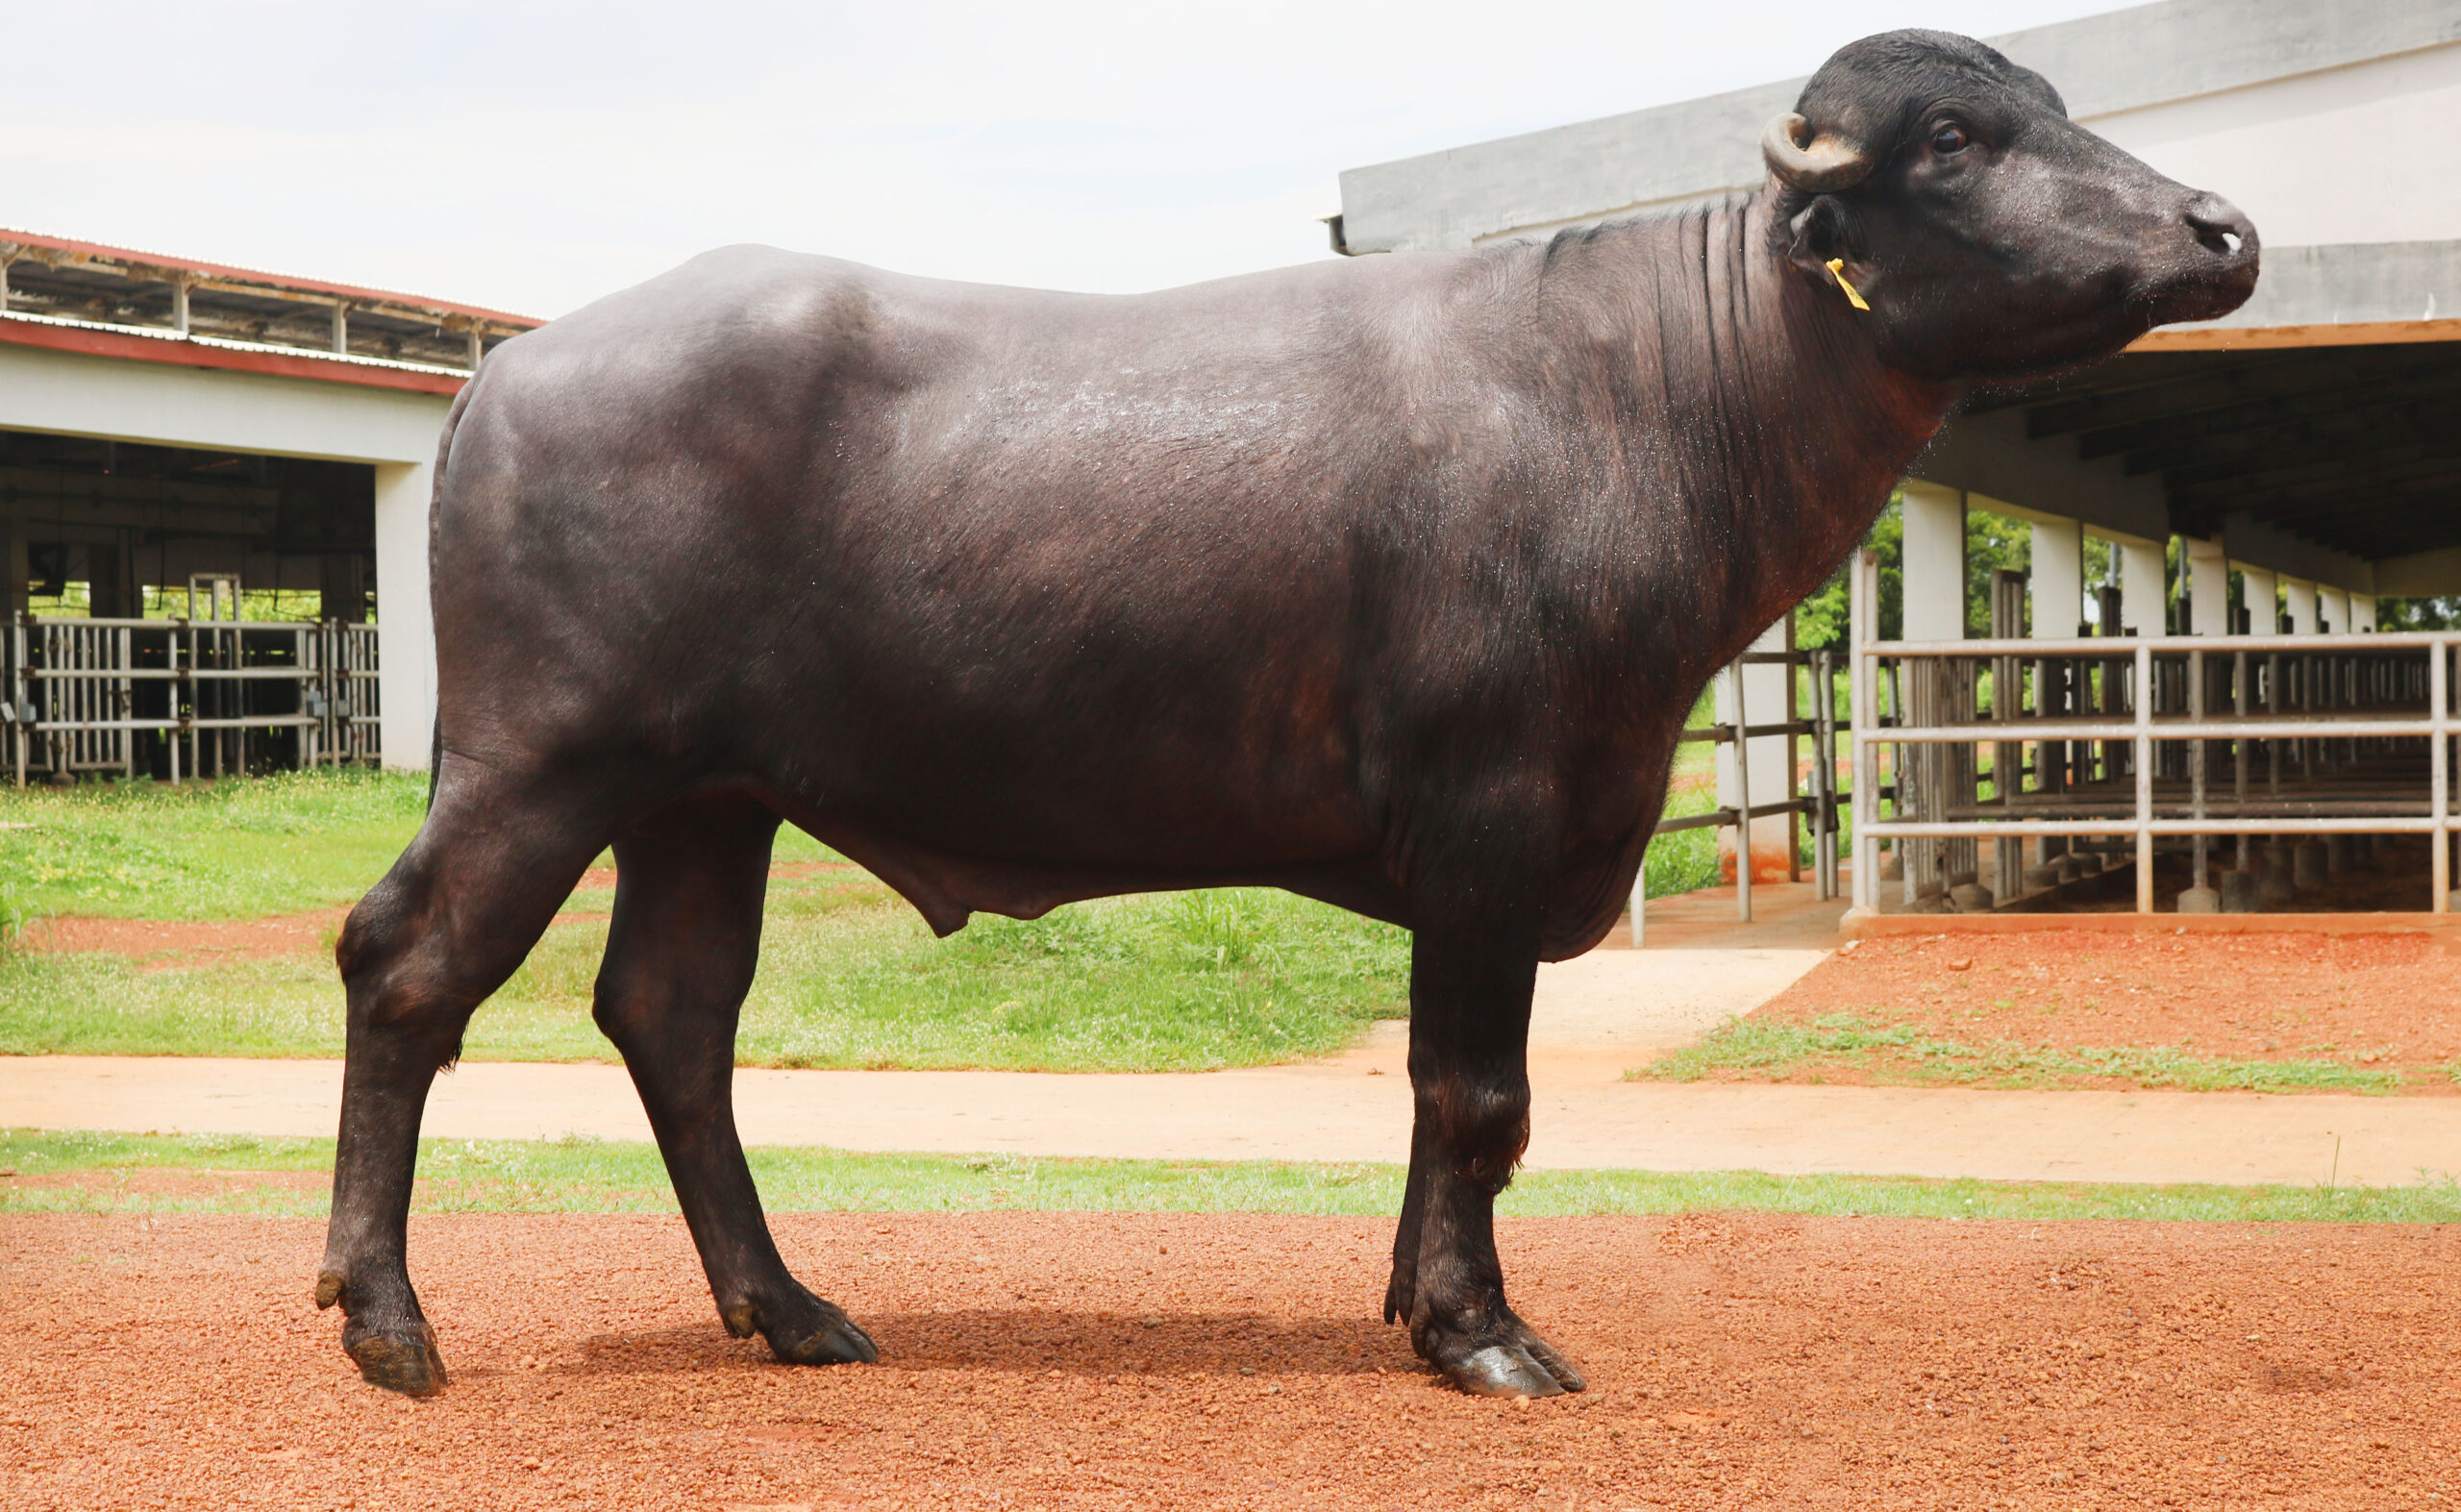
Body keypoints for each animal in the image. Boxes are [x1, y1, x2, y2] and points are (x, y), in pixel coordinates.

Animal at [316, 28, 2256, 1400]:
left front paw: (1413, 1297)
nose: (2224, 228)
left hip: (706, 795)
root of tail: (515, 363)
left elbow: (1446, 1100)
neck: (1651, 394)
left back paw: (787, 1306)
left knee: (673, 1013)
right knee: (407, 965)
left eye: (2054, 109)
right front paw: (1484, 1333)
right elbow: (1478, 1087)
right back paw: (389, 1321)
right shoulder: (1493, 811)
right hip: (543, 760)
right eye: (1955, 141)